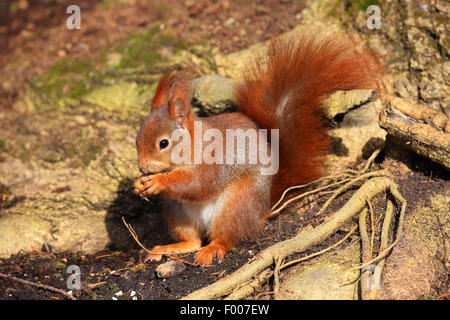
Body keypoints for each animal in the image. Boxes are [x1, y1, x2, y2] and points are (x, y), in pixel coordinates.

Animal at [133, 31, 384, 264]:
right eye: (137, 140)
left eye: (163, 143)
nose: (143, 168)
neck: (194, 145)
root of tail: (261, 210)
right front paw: (139, 184)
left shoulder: (214, 160)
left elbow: (198, 184)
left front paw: (158, 181)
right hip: (177, 211)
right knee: (193, 240)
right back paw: (169, 247)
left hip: (237, 204)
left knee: (225, 237)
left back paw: (212, 249)